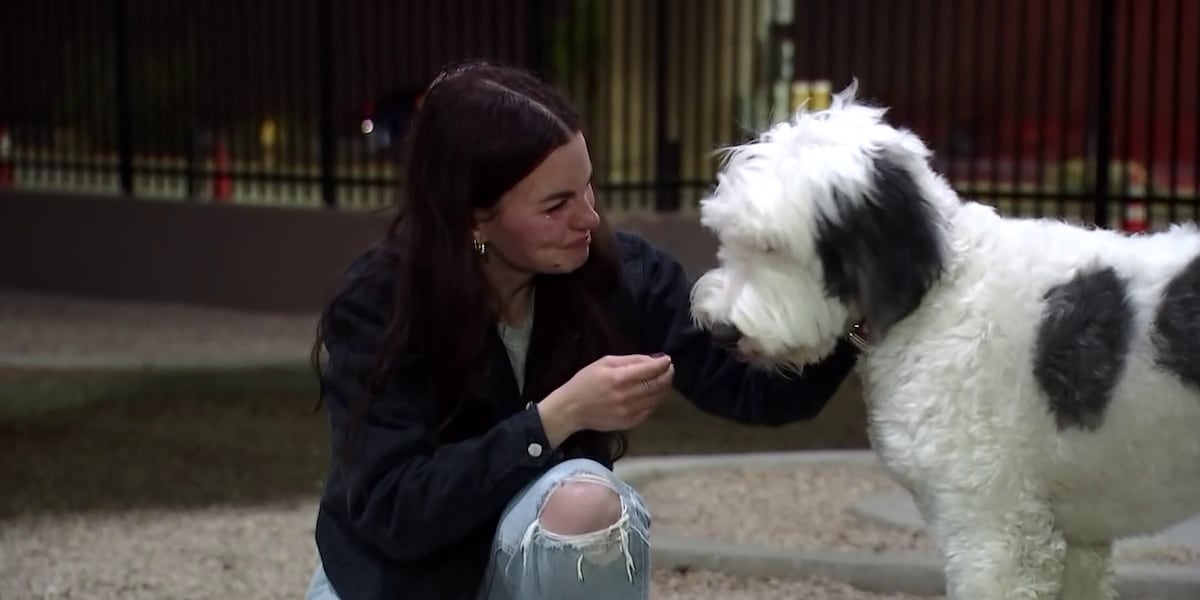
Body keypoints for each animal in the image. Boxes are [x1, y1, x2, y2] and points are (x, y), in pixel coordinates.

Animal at [691, 81, 1200, 600]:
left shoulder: (990, 526)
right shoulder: (1076, 540)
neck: (940, 288)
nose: (722, 331)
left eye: (771, 247)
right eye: (729, 238)